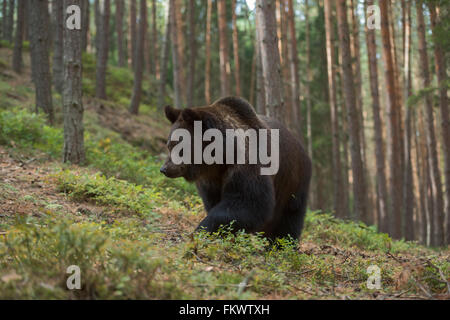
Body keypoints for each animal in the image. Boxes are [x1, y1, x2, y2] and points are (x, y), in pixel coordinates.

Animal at [160, 96, 312, 241]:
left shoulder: (245, 164)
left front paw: (202, 230)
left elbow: (248, 202)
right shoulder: (209, 179)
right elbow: (214, 202)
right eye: (169, 145)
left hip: (294, 182)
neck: (220, 158)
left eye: (178, 145)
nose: (164, 169)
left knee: (289, 219)